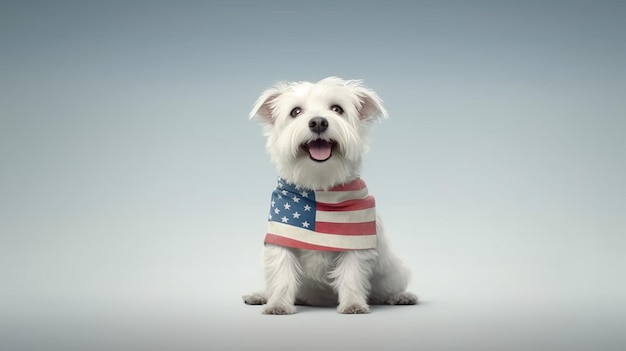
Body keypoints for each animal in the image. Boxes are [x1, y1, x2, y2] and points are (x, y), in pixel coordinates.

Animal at [243, 77, 414, 316]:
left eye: (337, 109)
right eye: (295, 111)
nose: (318, 123)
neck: (321, 187)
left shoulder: (355, 240)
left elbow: (351, 275)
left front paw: (353, 304)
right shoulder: (282, 237)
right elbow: (282, 275)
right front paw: (277, 304)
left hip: (393, 270)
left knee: (388, 288)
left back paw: (401, 296)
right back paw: (261, 296)